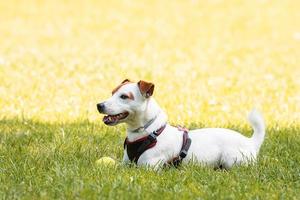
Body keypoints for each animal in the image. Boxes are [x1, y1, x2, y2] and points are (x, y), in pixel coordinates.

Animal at [96, 79, 264, 169]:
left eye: (124, 96)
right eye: (112, 93)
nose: (99, 105)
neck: (149, 132)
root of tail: (251, 142)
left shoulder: (148, 166)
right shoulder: (126, 163)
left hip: (231, 159)